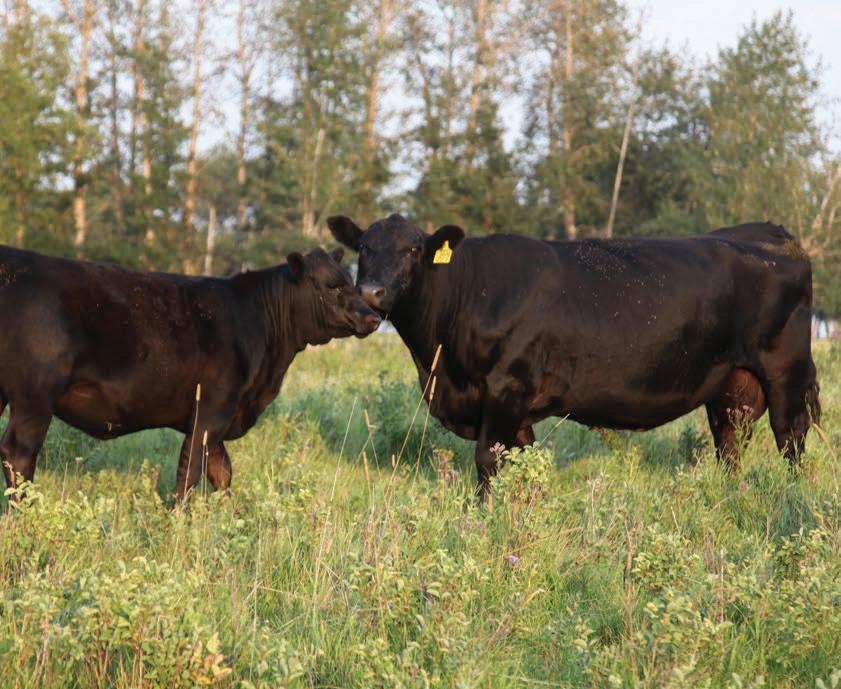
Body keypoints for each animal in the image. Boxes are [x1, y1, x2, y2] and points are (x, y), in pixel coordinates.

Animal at [0, 246, 381, 501]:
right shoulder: (212, 410)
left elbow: (222, 473)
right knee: (19, 454)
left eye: (350, 281)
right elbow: (190, 473)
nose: (373, 317)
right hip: (36, 395)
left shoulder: (220, 418)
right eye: (331, 286)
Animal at [328, 214, 821, 496]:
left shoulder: (507, 385)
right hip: (731, 384)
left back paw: (795, 496)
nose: (371, 292)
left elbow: (488, 461)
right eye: (364, 247)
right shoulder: (512, 409)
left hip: (785, 371)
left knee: (790, 437)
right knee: (730, 441)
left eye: (413, 249)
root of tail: (774, 235)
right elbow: (521, 462)